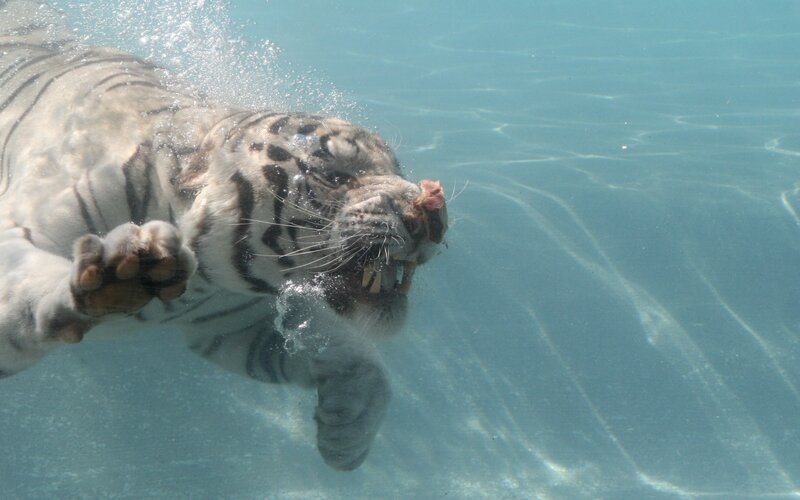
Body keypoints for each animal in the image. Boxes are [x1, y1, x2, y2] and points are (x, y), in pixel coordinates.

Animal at [0, 0, 447, 471]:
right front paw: (118, 272)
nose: (430, 214)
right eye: (334, 176)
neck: (198, 276)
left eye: (397, 169)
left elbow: (355, 357)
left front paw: (348, 434)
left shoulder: (233, 323)